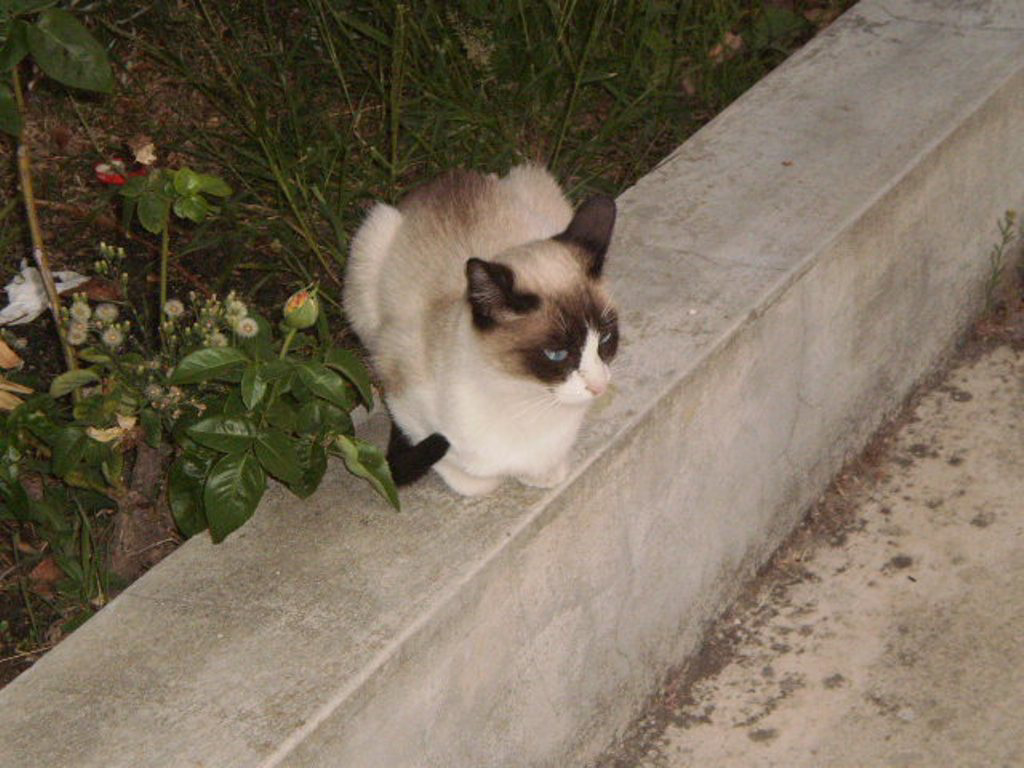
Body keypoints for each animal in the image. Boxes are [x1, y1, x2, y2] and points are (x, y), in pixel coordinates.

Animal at [344, 164, 614, 495]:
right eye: (556, 354)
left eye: (606, 338)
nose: (599, 386)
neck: (525, 397)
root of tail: (447, 176)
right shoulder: (401, 398)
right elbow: (468, 477)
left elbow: (549, 470)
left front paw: (542, 474)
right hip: (371, 248)